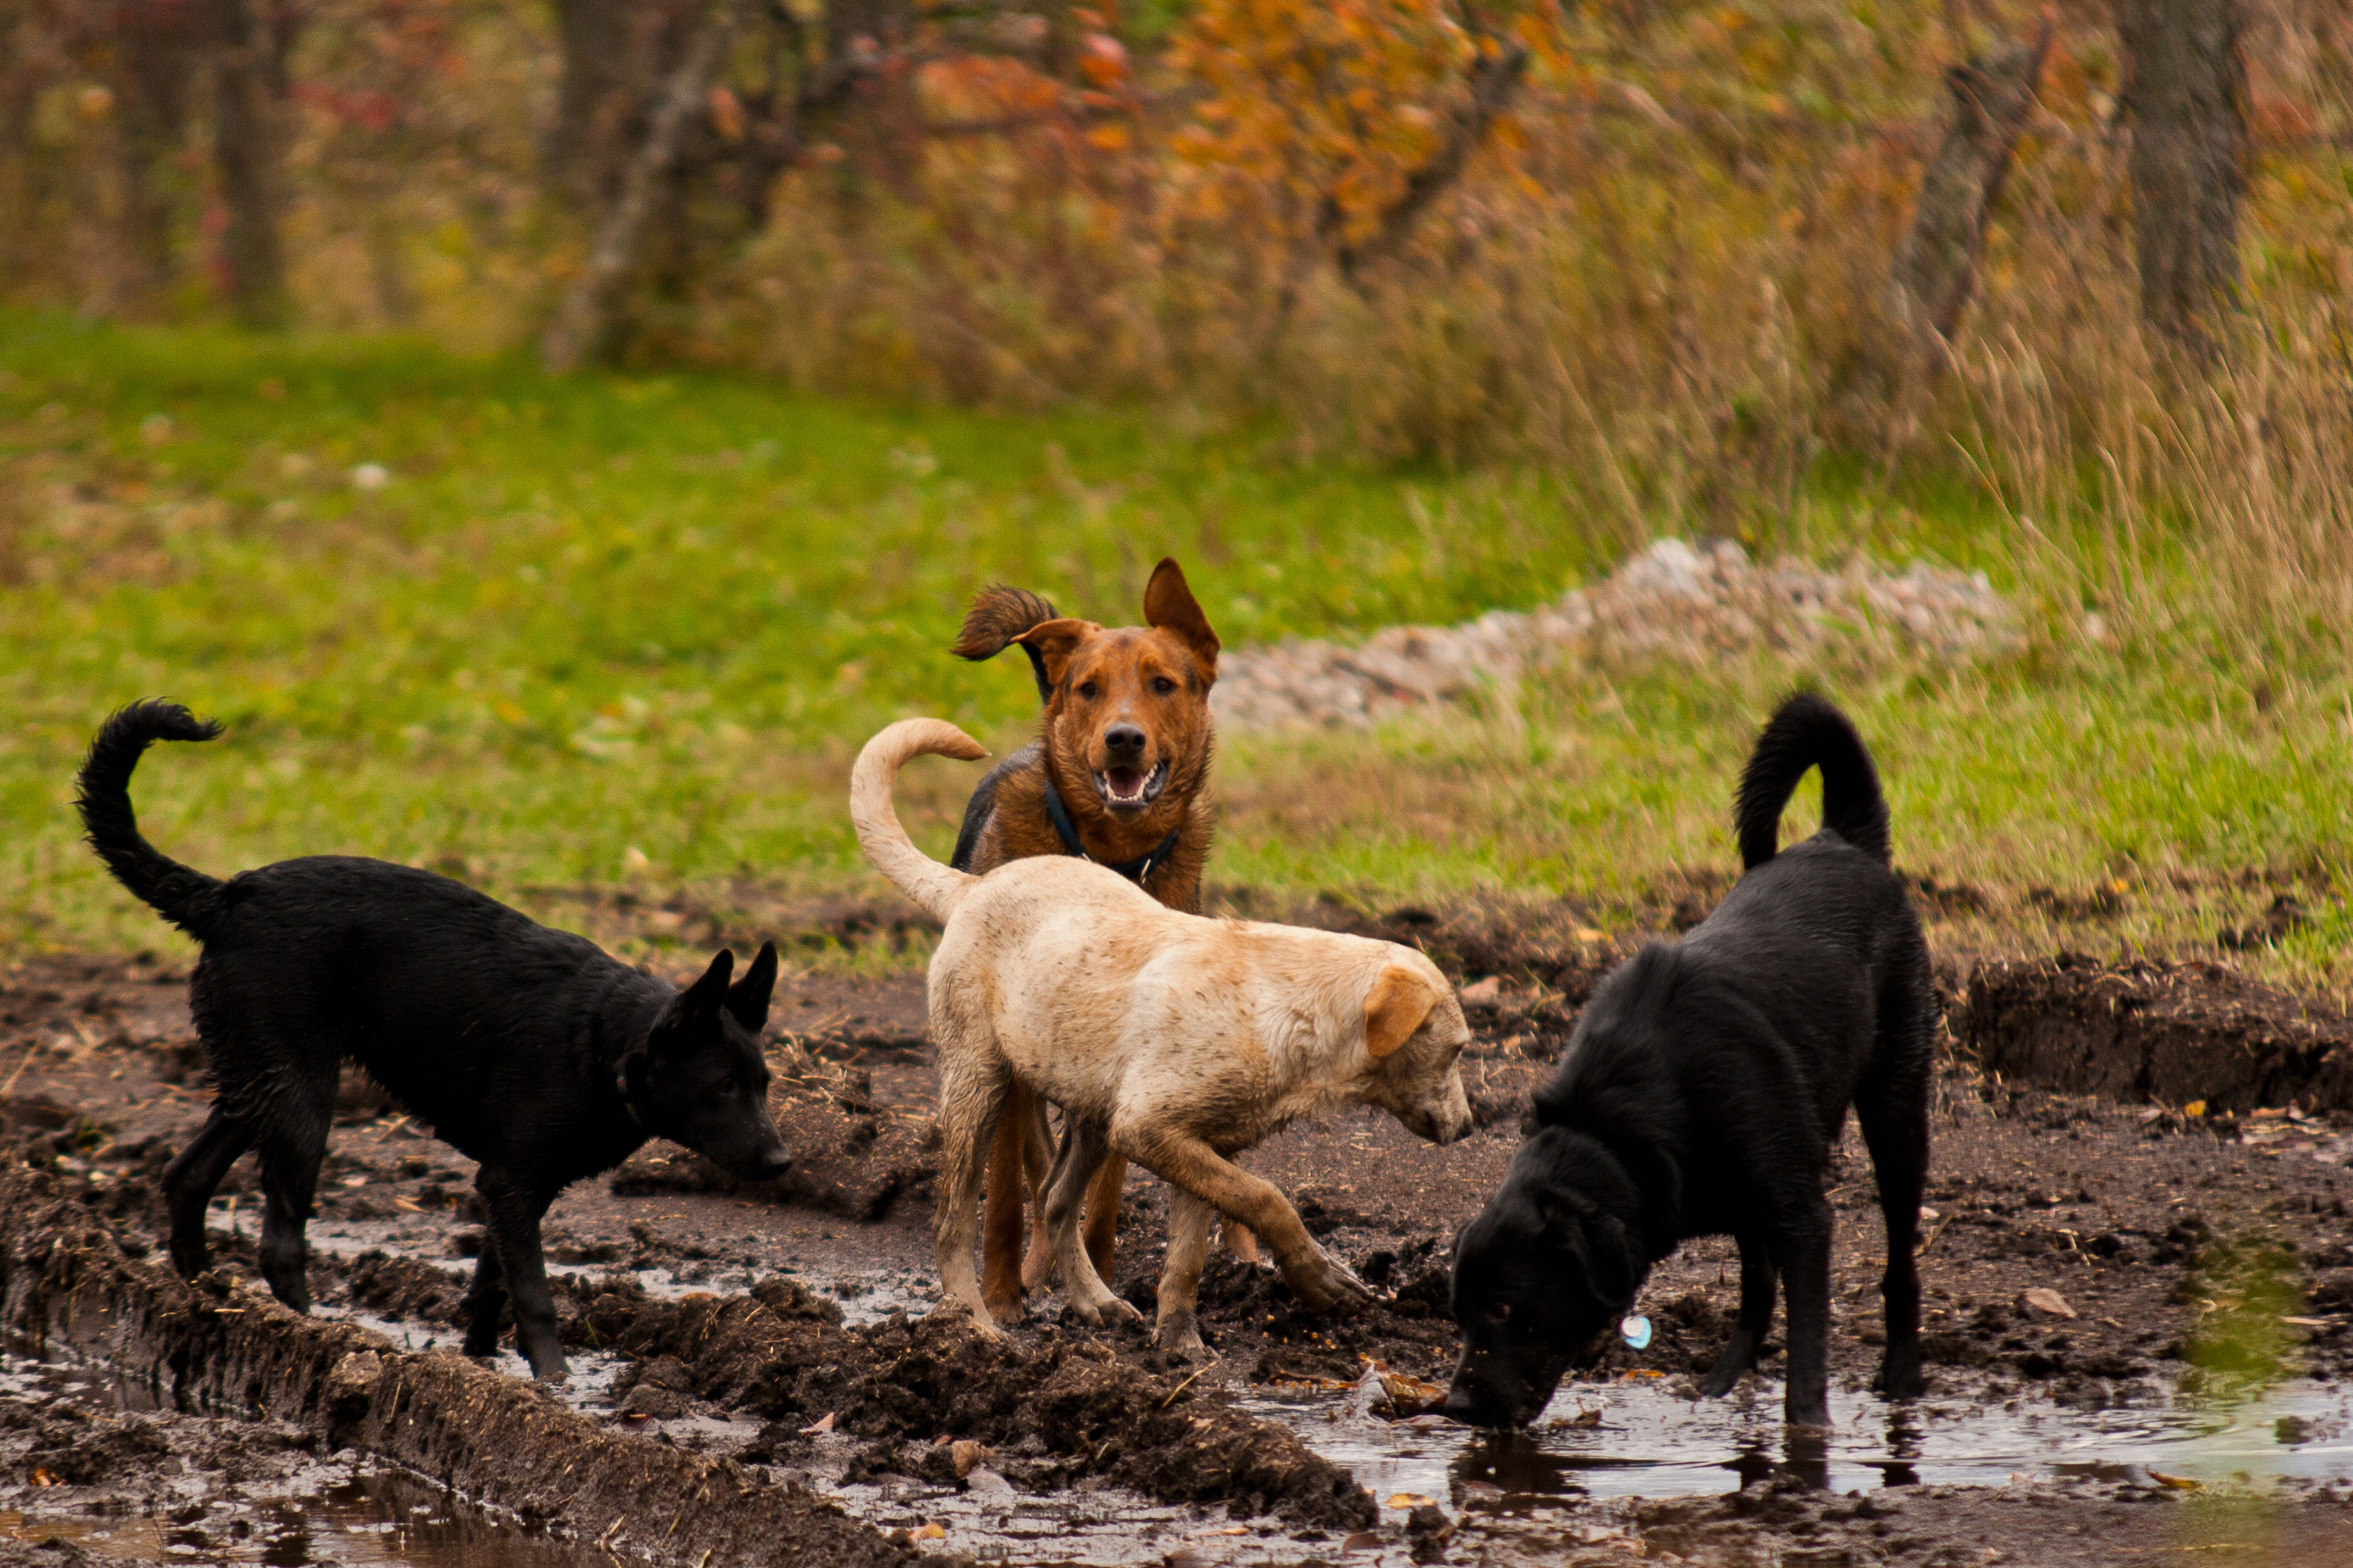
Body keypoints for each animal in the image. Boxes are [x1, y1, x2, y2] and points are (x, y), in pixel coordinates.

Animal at [73, 705, 795, 1382]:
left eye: (764, 1085)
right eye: (723, 1086)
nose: (784, 1161)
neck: (607, 1044)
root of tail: (227, 896)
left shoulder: (511, 1185)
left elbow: (491, 1282)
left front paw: (483, 1361)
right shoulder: (512, 1182)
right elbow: (534, 1293)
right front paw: (556, 1383)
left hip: (260, 1080)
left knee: (187, 1176)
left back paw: (204, 1295)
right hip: (303, 1100)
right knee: (279, 1240)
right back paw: (317, 1336)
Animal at [847, 719, 1468, 1354]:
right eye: (1458, 1049)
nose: (1470, 1126)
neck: (1279, 1004)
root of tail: (973, 886)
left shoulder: (1199, 1144)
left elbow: (1190, 1253)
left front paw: (1178, 1342)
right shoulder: (1148, 1127)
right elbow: (1268, 1198)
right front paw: (1319, 1278)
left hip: (1093, 1110)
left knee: (1053, 1200)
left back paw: (1095, 1301)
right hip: (979, 1082)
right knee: (953, 1220)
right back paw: (973, 1323)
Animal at [941, 557, 1233, 1316]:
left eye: (1162, 683)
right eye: (1089, 688)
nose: (1123, 737)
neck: (1108, 855)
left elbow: (1103, 1190)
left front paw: (1096, 1274)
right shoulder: (1014, 1065)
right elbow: (1006, 1195)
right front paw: (1002, 1297)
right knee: (1029, 1165)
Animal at [1449, 690, 1929, 1429]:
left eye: (1503, 1307)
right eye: (1458, 1314)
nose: (1456, 1407)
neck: (1617, 1125)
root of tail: (1841, 839)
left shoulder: (1803, 1218)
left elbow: (1806, 1347)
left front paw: (1807, 1434)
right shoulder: (1748, 1200)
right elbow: (1760, 1284)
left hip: (1897, 1106)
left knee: (1900, 1250)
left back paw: (1902, 1374)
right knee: (1758, 1283)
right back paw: (1725, 1381)